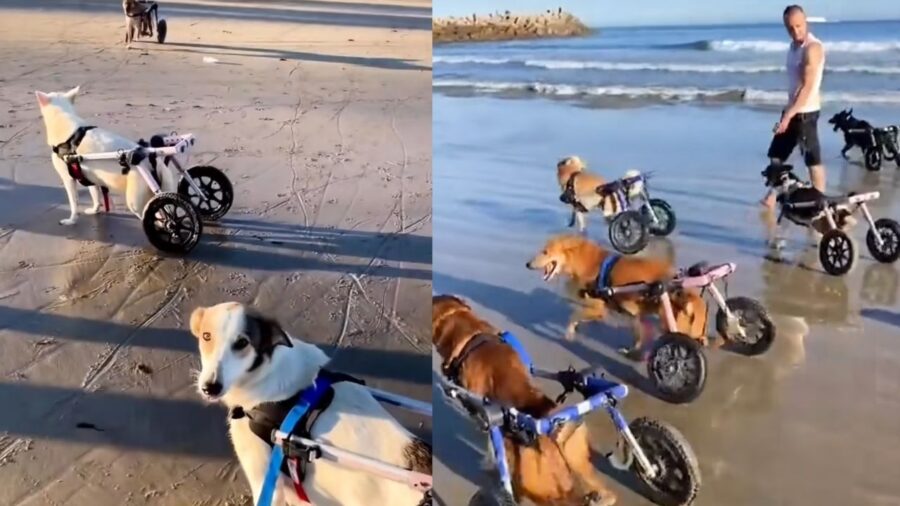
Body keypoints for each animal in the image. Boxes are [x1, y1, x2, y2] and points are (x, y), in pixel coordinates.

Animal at [34, 86, 178, 225]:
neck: (64, 116)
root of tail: (153, 161)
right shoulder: (90, 177)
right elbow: (95, 196)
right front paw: (95, 210)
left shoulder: (68, 179)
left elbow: (74, 203)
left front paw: (71, 220)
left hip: (136, 203)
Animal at [430, 294, 616, 506]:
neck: (470, 334)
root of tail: (551, 430)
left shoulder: (486, 419)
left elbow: (491, 444)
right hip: (579, 461)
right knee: (606, 493)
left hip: (542, 490)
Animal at [524, 233, 708, 356]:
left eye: (545, 252)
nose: (527, 264)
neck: (583, 262)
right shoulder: (630, 314)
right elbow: (638, 333)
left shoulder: (598, 308)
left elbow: (573, 315)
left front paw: (569, 333)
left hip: (672, 325)